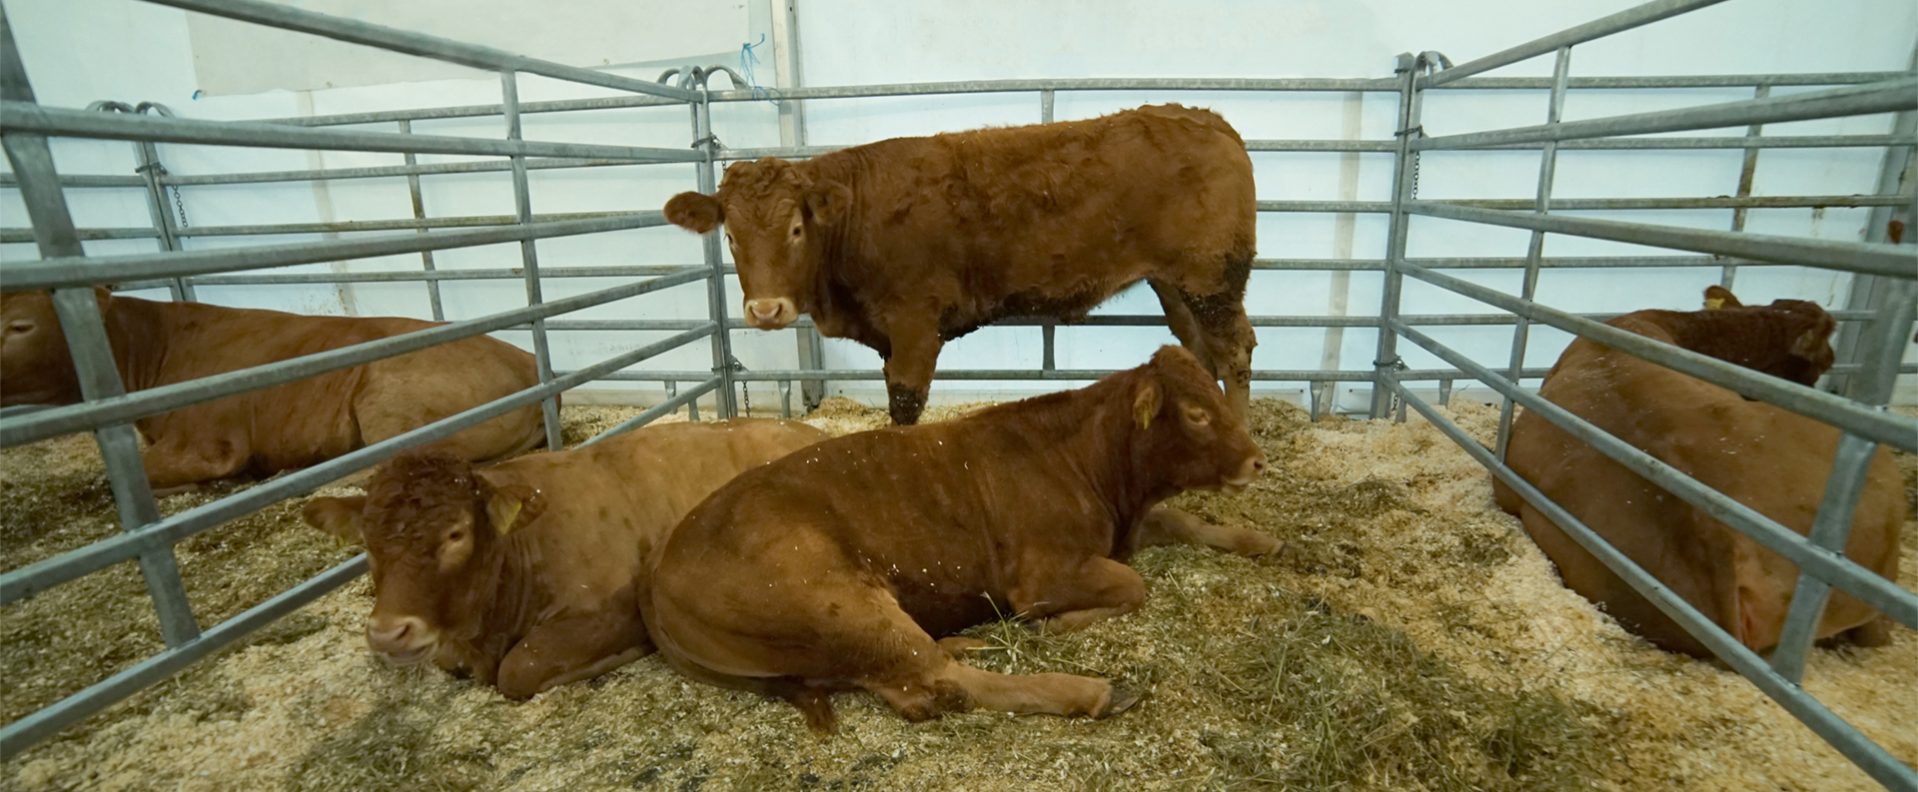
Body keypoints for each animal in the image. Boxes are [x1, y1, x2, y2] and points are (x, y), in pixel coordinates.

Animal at [644, 346, 1279, 730]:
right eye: (1197, 413)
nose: (1257, 461)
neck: (1088, 464)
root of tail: (660, 572)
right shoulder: (1042, 574)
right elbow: (1132, 585)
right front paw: (1052, 625)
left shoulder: (1124, 527)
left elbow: (1185, 523)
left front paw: (1263, 541)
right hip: (836, 601)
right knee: (943, 681)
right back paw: (1090, 691)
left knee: (910, 684)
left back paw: (964, 644)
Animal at [663, 103, 1259, 426]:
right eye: (731, 236)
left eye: (795, 229)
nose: (766, 310)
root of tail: (1209, 119)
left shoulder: (915, 324)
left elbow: (905, 403)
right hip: (1177, 284)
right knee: (1199, 349)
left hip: (1212, 279)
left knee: (1235, 351)